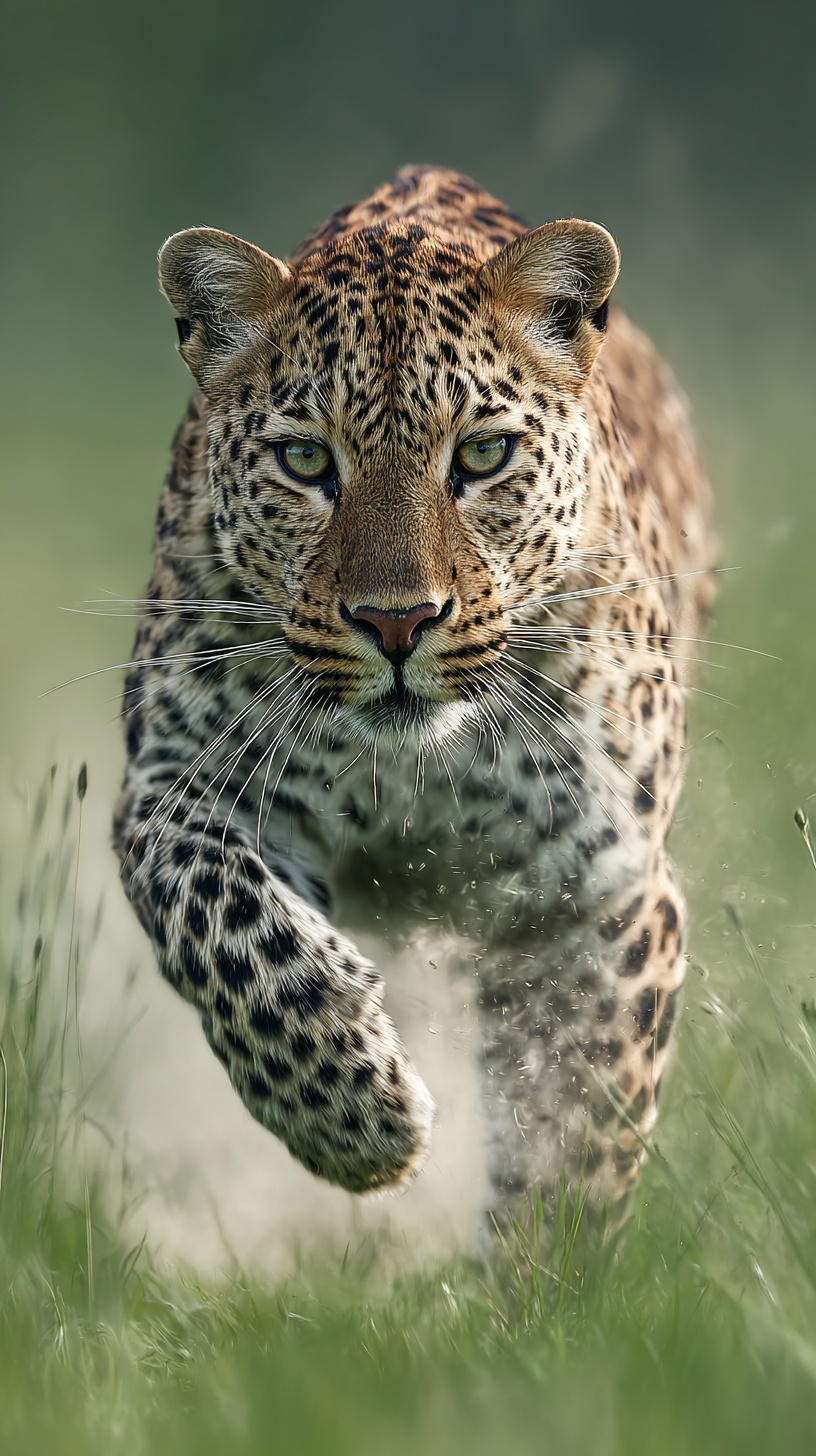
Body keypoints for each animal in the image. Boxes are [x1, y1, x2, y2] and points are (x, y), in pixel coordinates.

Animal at [113, 165, 715, 1228]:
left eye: (480, 456)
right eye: (306, 461)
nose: (398, 624)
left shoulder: (593, 892)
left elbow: (574, 1125)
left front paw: (550, 1272)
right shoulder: (170, 787)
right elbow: (227, 928)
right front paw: (360, 1122)